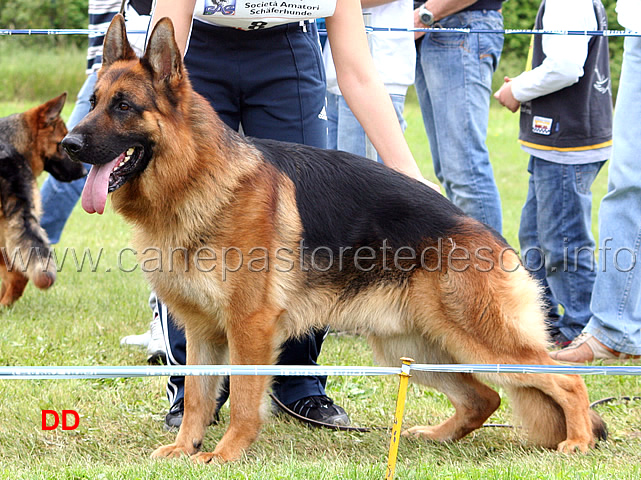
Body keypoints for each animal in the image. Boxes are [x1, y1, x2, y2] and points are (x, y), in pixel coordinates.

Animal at [62, 16, 608, 464]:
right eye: (92, 103)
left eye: (124, 107)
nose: (68, 145)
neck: (195, 176)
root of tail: (482, 232)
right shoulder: (201, 333)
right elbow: (197, 397)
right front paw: (184, 447)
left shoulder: (249, 328)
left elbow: (243, 399)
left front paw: (226, 453)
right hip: (411, 348)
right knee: (484, 398)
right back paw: (435, 437)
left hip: (477, 340)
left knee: (565, 380)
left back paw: (578, 441)